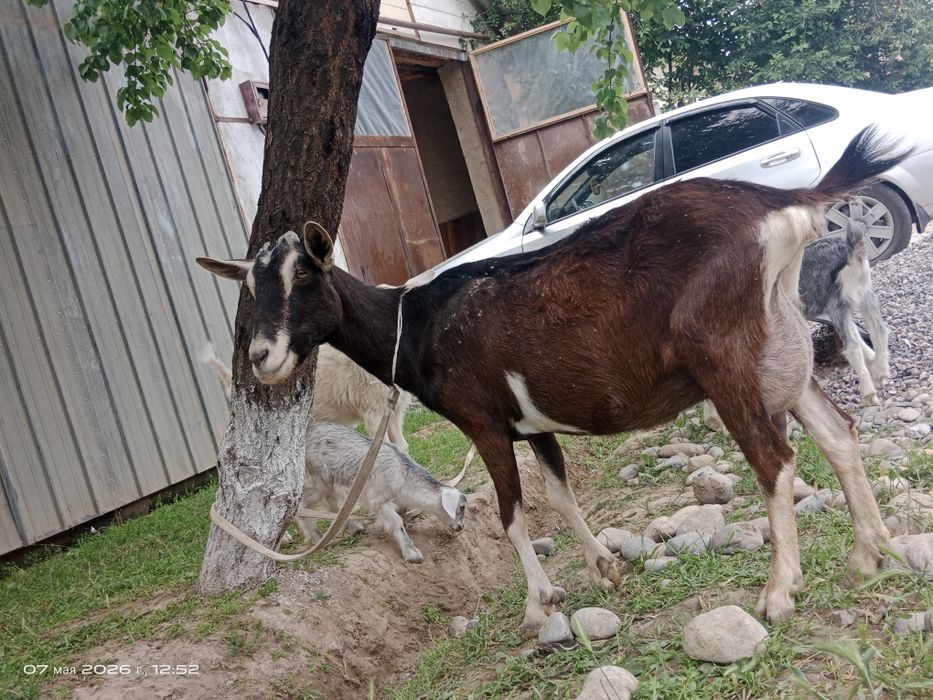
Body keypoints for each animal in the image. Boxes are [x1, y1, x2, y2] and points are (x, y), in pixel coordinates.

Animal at [298, 422, 466, 562]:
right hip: (316, 480)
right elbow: (397, 522)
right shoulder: (378, 500)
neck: (403, 475)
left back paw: (354, 527)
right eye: (461, 507)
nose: (460, 527)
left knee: (331, 501)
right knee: (302, 506)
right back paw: (316, 537)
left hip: (329, 481)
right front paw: (412, 553)